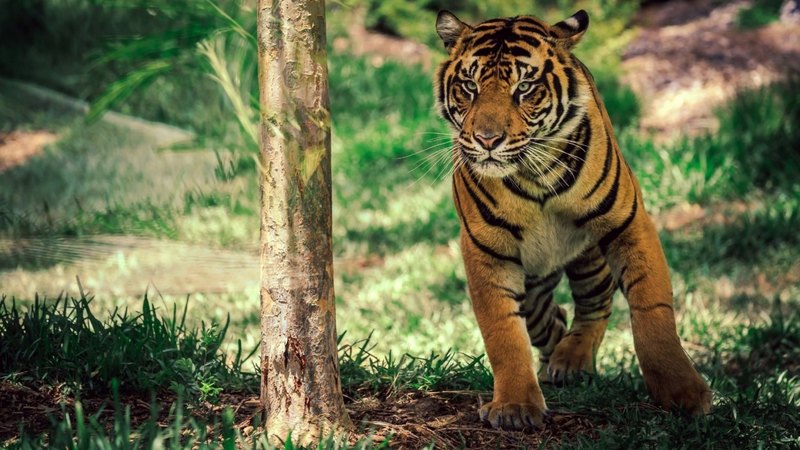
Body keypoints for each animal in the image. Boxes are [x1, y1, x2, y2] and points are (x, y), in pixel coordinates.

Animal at [433, 9, 712, 429]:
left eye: (525, 87)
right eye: (469, 86)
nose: (487, 140)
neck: (532, 175)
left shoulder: (628, 222)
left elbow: (653, 311)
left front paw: (683, 392)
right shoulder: (487, 249)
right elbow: (503, 331)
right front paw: (515, 406)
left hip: (588, 256)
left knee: (595, 303)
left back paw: (572, 360)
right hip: (535, 276)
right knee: (548, 315)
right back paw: (554, 361)